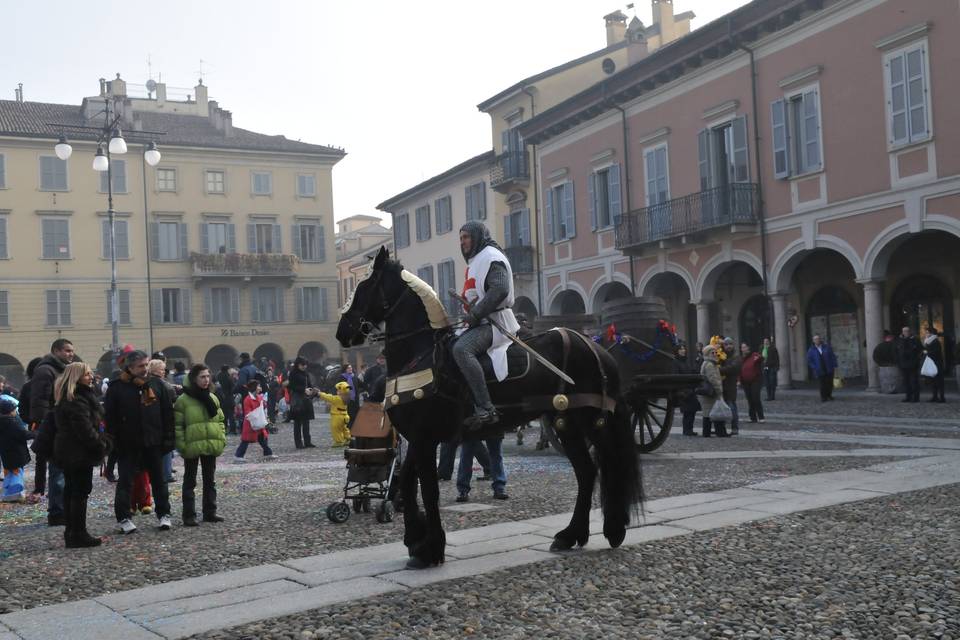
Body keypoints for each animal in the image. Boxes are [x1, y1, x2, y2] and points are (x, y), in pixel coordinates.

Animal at [334, 246, 640, 568]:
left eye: (365, 286)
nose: (342, 331)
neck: (421, 355)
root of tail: (596, 348)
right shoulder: (418, 440)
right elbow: (409, 482)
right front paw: (417, 540)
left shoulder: (425, 438)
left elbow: (424, 488)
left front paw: (430, 548)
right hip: (565, 423)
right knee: (587, 471)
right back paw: (571, 535)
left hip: (591, 419)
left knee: (608, 465)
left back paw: (612, 528)